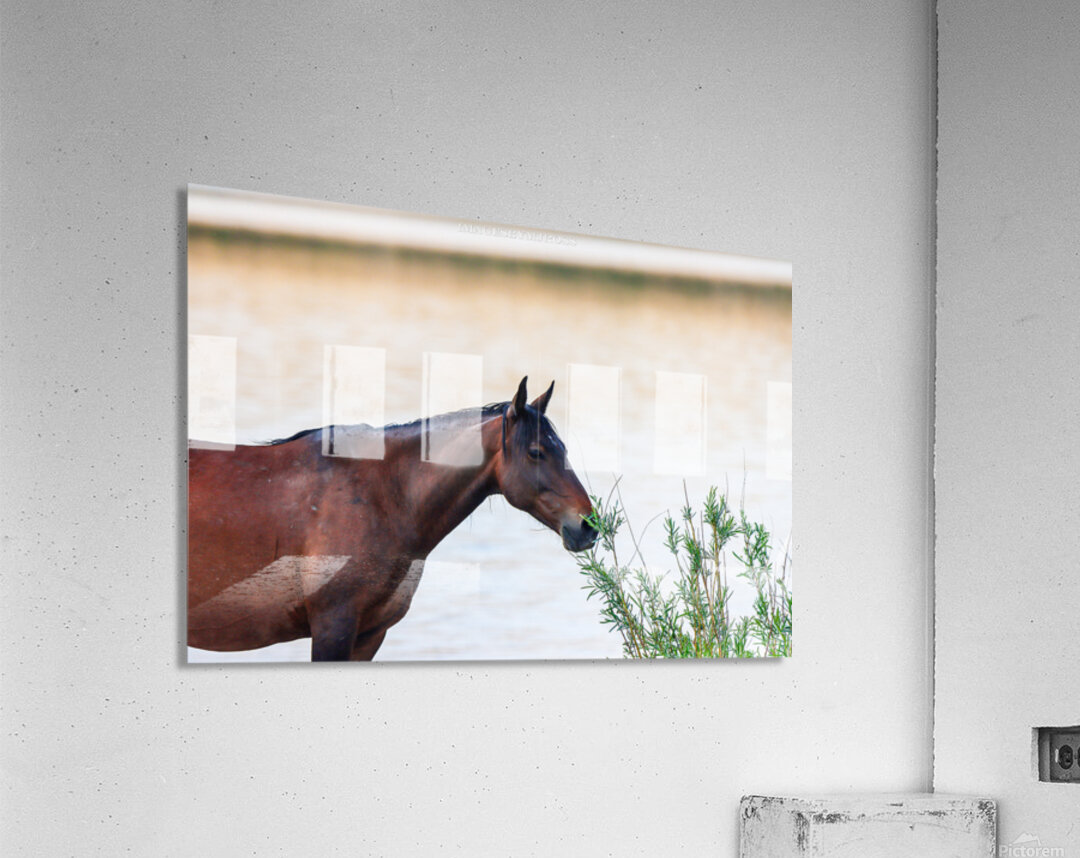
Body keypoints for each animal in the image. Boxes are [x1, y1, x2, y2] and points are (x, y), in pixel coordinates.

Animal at [187, 377, 597, 661]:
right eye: (536, 452)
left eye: (563, 448)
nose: (588, 526)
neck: (382, 496)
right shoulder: (332, 628)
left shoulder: (369, 636)